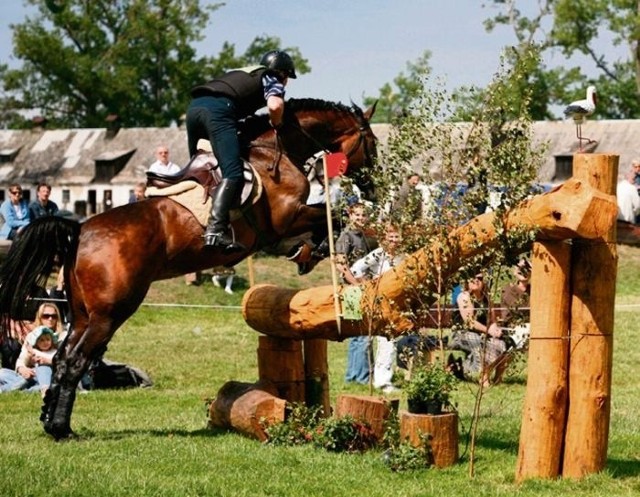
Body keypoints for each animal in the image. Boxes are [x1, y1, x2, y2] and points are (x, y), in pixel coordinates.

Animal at [0, 97, 376, 438]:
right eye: (371, 141)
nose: (373, 185)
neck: (275, 152)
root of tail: (79, 231)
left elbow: (327, 220)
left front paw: (306, 252)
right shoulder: (287, 217)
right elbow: (334, 215)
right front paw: (314, 249)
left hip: (80, 313)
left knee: (62, 358)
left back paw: (50, 419)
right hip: (109, 313)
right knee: (76, 361)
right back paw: (61, 428)